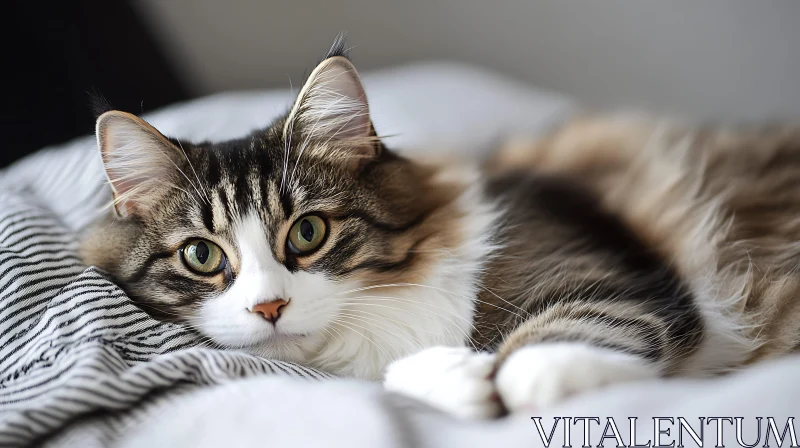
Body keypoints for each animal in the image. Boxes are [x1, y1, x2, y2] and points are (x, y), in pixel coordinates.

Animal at [79, 39, 800, 420]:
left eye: (307, 234)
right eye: (201, 256)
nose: (269, 307)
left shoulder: (603, 271)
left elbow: (556, 335)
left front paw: (525, 379)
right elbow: (404, 378)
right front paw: (463, 379)